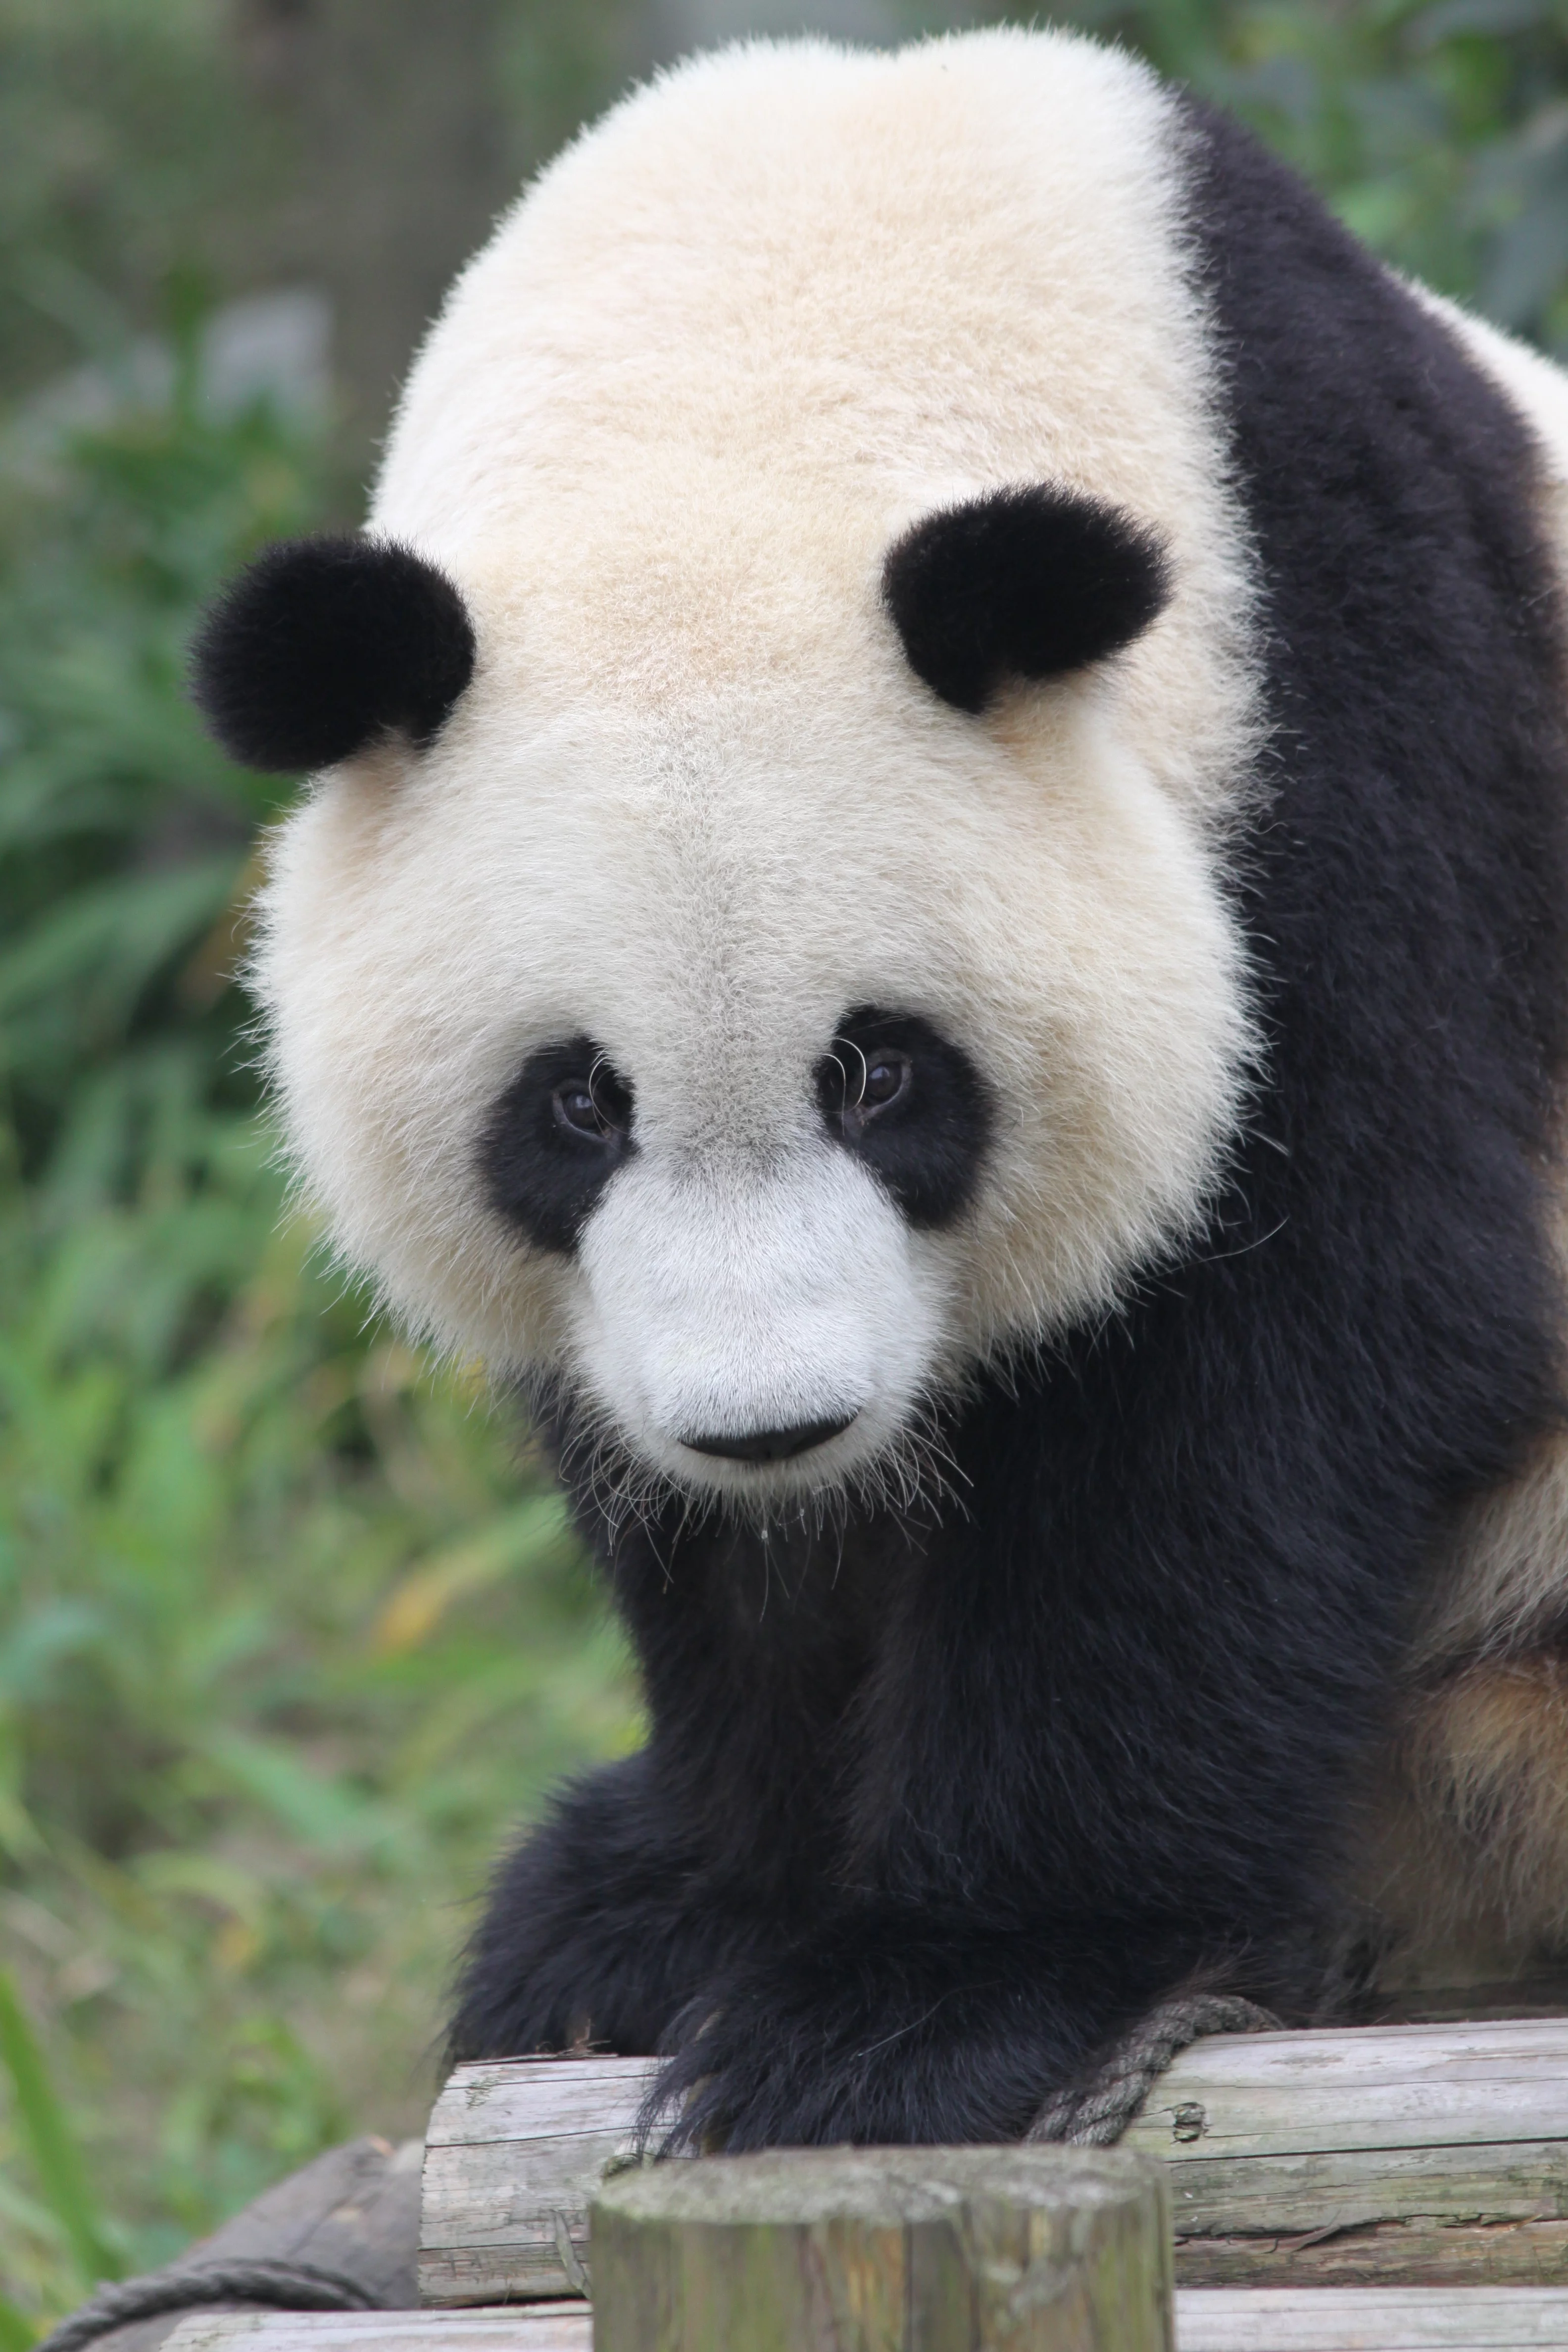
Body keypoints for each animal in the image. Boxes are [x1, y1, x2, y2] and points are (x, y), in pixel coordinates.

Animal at [192, 28, 1568, 2148]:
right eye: (575, 1107)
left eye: (879, 1074)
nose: (777, 1424)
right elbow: (699, 1532)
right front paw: (689, 1912)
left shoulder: (1351, 709)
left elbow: (1307, 1329)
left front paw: (928, 1996)